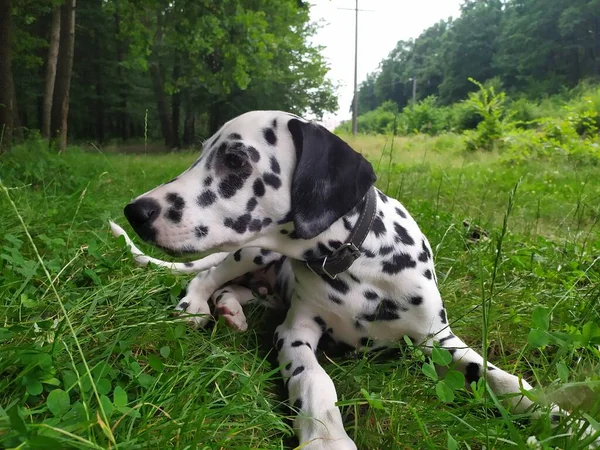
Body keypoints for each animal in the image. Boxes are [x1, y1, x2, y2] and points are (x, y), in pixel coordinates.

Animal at [110, 110, 596, 450]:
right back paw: (195, 305)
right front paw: (326, 438)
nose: (135, 211)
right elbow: (313, 381)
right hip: (251, 250)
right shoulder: (296, 331)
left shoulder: (439, 339)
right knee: (211, 273)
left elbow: (504, 381)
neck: (357, 264)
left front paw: (565, 422)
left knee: (239, 288)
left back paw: (231, 309)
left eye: (234, 159)